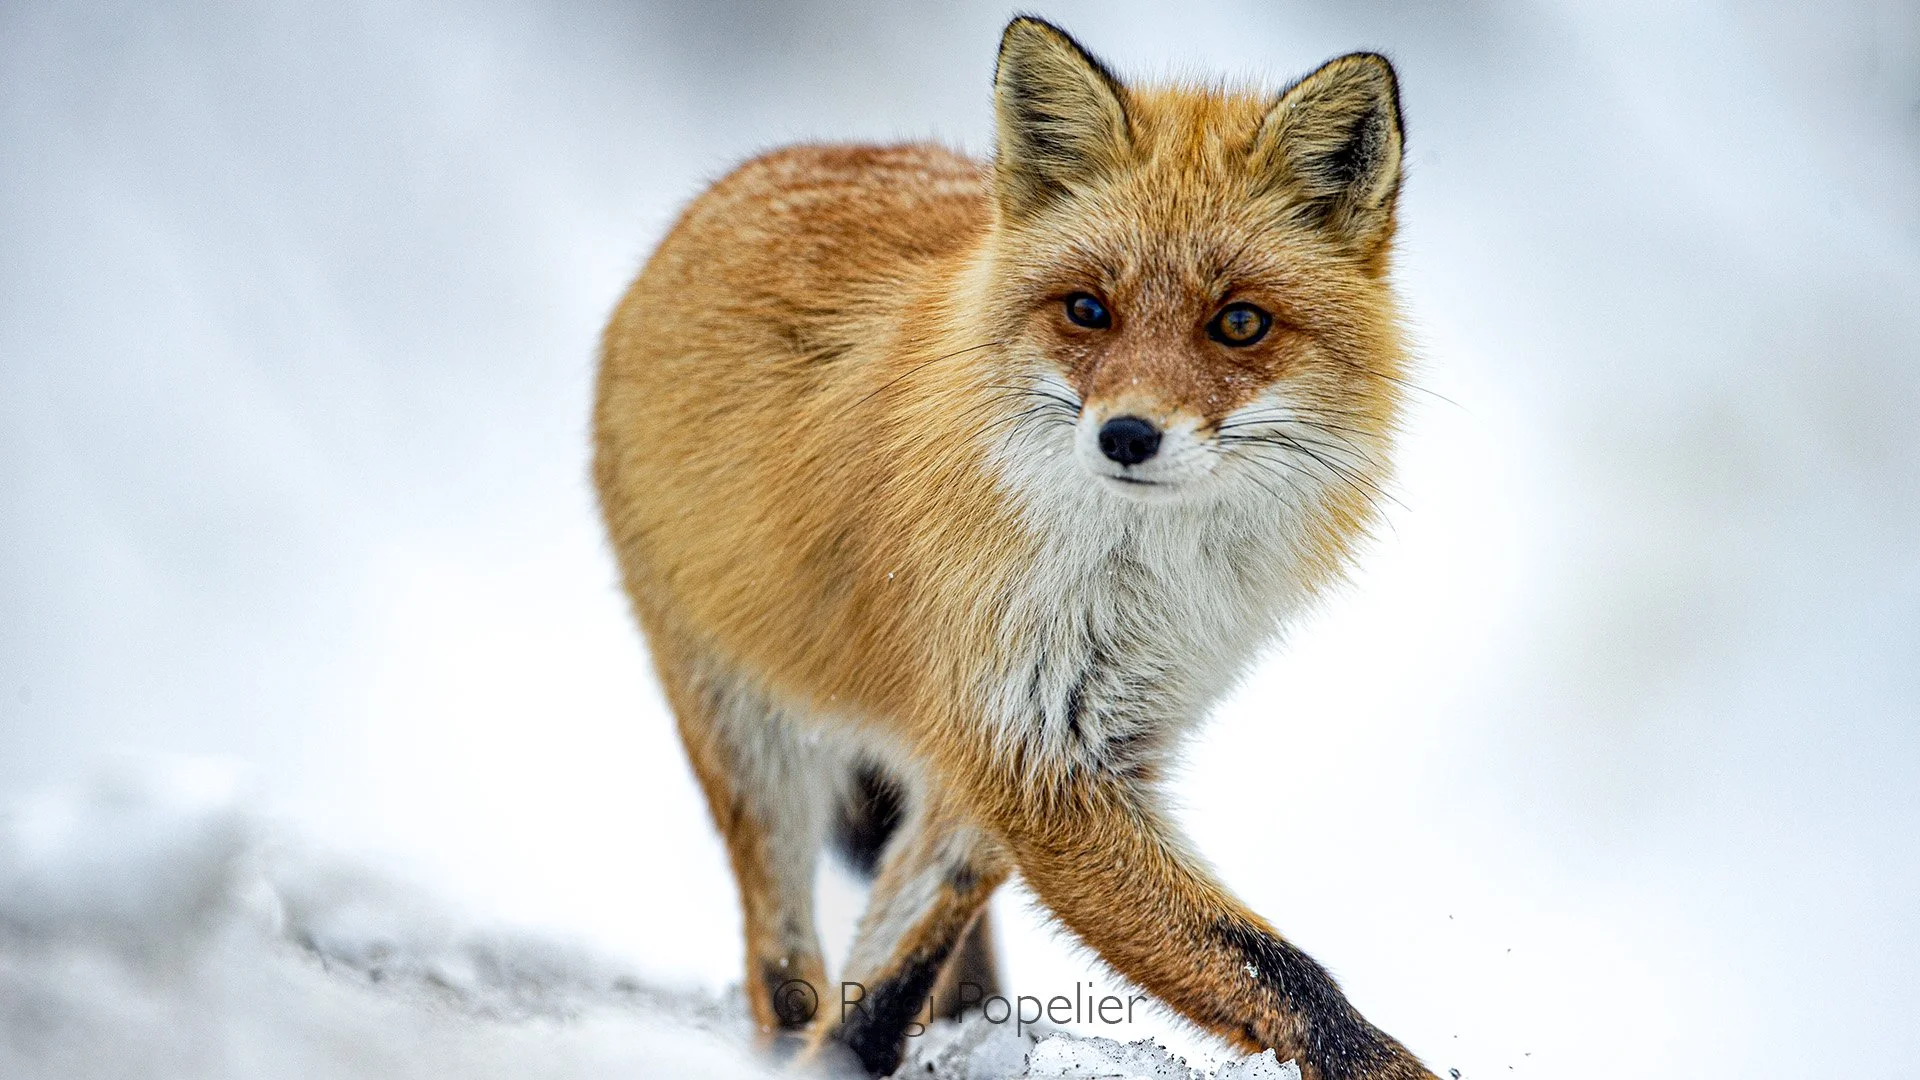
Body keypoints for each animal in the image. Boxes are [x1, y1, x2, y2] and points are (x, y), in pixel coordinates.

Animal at [594, 16, 1432, 1080]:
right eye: (1087, 310)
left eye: (1239, 323)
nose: (1127, 435)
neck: (1136, 582)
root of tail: (735, 181)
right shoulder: (1031, 755)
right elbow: (1275, 968)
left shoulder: (1071, 738)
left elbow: (902, 955)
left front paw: (868, 1047)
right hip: (753, 737)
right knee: (778, 964)